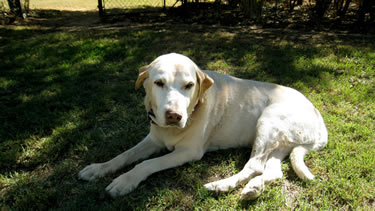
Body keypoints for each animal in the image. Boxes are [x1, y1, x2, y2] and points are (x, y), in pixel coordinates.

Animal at [78, 52, 328, 199]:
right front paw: (98, 169)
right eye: (159, 83)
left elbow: (146, 164)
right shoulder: (153, 139)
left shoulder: (189, 152)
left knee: (254, 165)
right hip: (280, 144)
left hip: (268, 119)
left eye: (189, 85)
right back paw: (254, 188)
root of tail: (318, 116)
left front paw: (124, 181)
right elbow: (124, 155)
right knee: (273, 171)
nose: (174, 116)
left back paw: (221, 186)